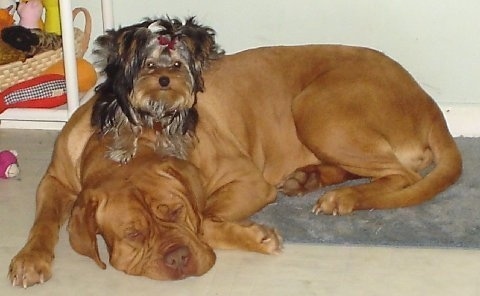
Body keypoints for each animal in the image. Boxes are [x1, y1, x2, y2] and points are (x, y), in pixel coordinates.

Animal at [8, 44, 462, 286]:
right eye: (133, 234)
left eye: (174, 211)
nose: (177, 259)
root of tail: (428, 102)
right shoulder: (55, 181)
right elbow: (43, 221)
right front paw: (30, 259)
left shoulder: (248, 183)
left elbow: (206, 218)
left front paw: (251, 235)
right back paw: (308, 179)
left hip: (317, 108)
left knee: (402, 175)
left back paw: (343, 198)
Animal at [91, 17, 223, 163]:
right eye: (150, 65)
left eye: (177, 64)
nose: (164, 80)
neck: (157, 96)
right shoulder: (118, 100)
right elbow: (125, 121)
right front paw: (123, 150)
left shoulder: (180, 113)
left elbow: (173, 128)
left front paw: (170, 149)